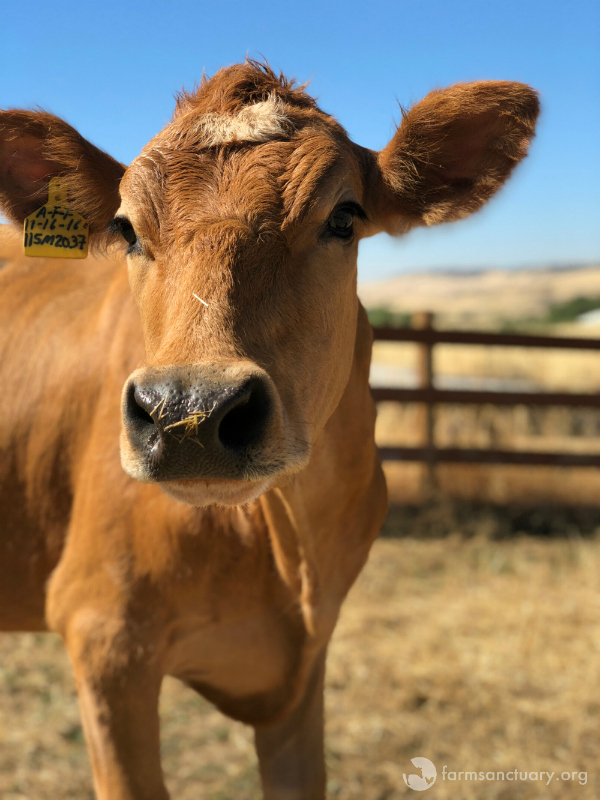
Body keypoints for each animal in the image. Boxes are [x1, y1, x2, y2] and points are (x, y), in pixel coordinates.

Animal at [0, 60, 538, 799]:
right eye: (128, 230)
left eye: (343, 217)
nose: (188, 411)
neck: (287, 550)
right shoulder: (103, 636)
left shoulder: (307, 668)